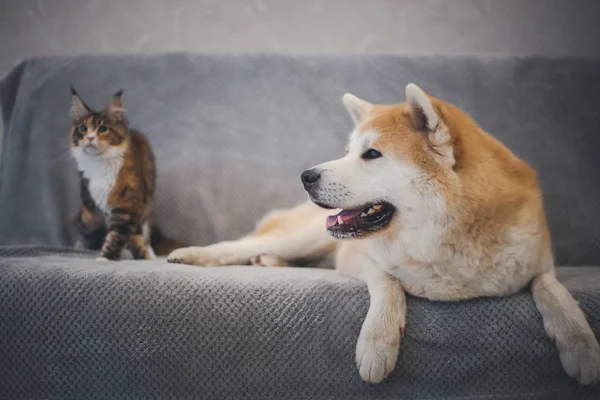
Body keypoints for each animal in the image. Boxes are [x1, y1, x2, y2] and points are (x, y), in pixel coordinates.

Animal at [69, 88, 157, 260]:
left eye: (102, 129)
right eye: (83, 129)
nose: (90, 137)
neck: (99, 163)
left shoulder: (126, 204)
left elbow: (117, 235)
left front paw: (106, 258)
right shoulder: (102, 203)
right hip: (89, 212)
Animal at [169, 82, 600, 384]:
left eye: (372, 154)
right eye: (348, 151)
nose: (306, 176)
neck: (441, 236)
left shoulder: (537, 261)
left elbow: (553, 290)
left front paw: (581, 345)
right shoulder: (358, 256)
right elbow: (389, 284)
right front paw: (378, 343)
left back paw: (269, 262)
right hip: (305, 236)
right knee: (239, 245)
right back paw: (196, 255)